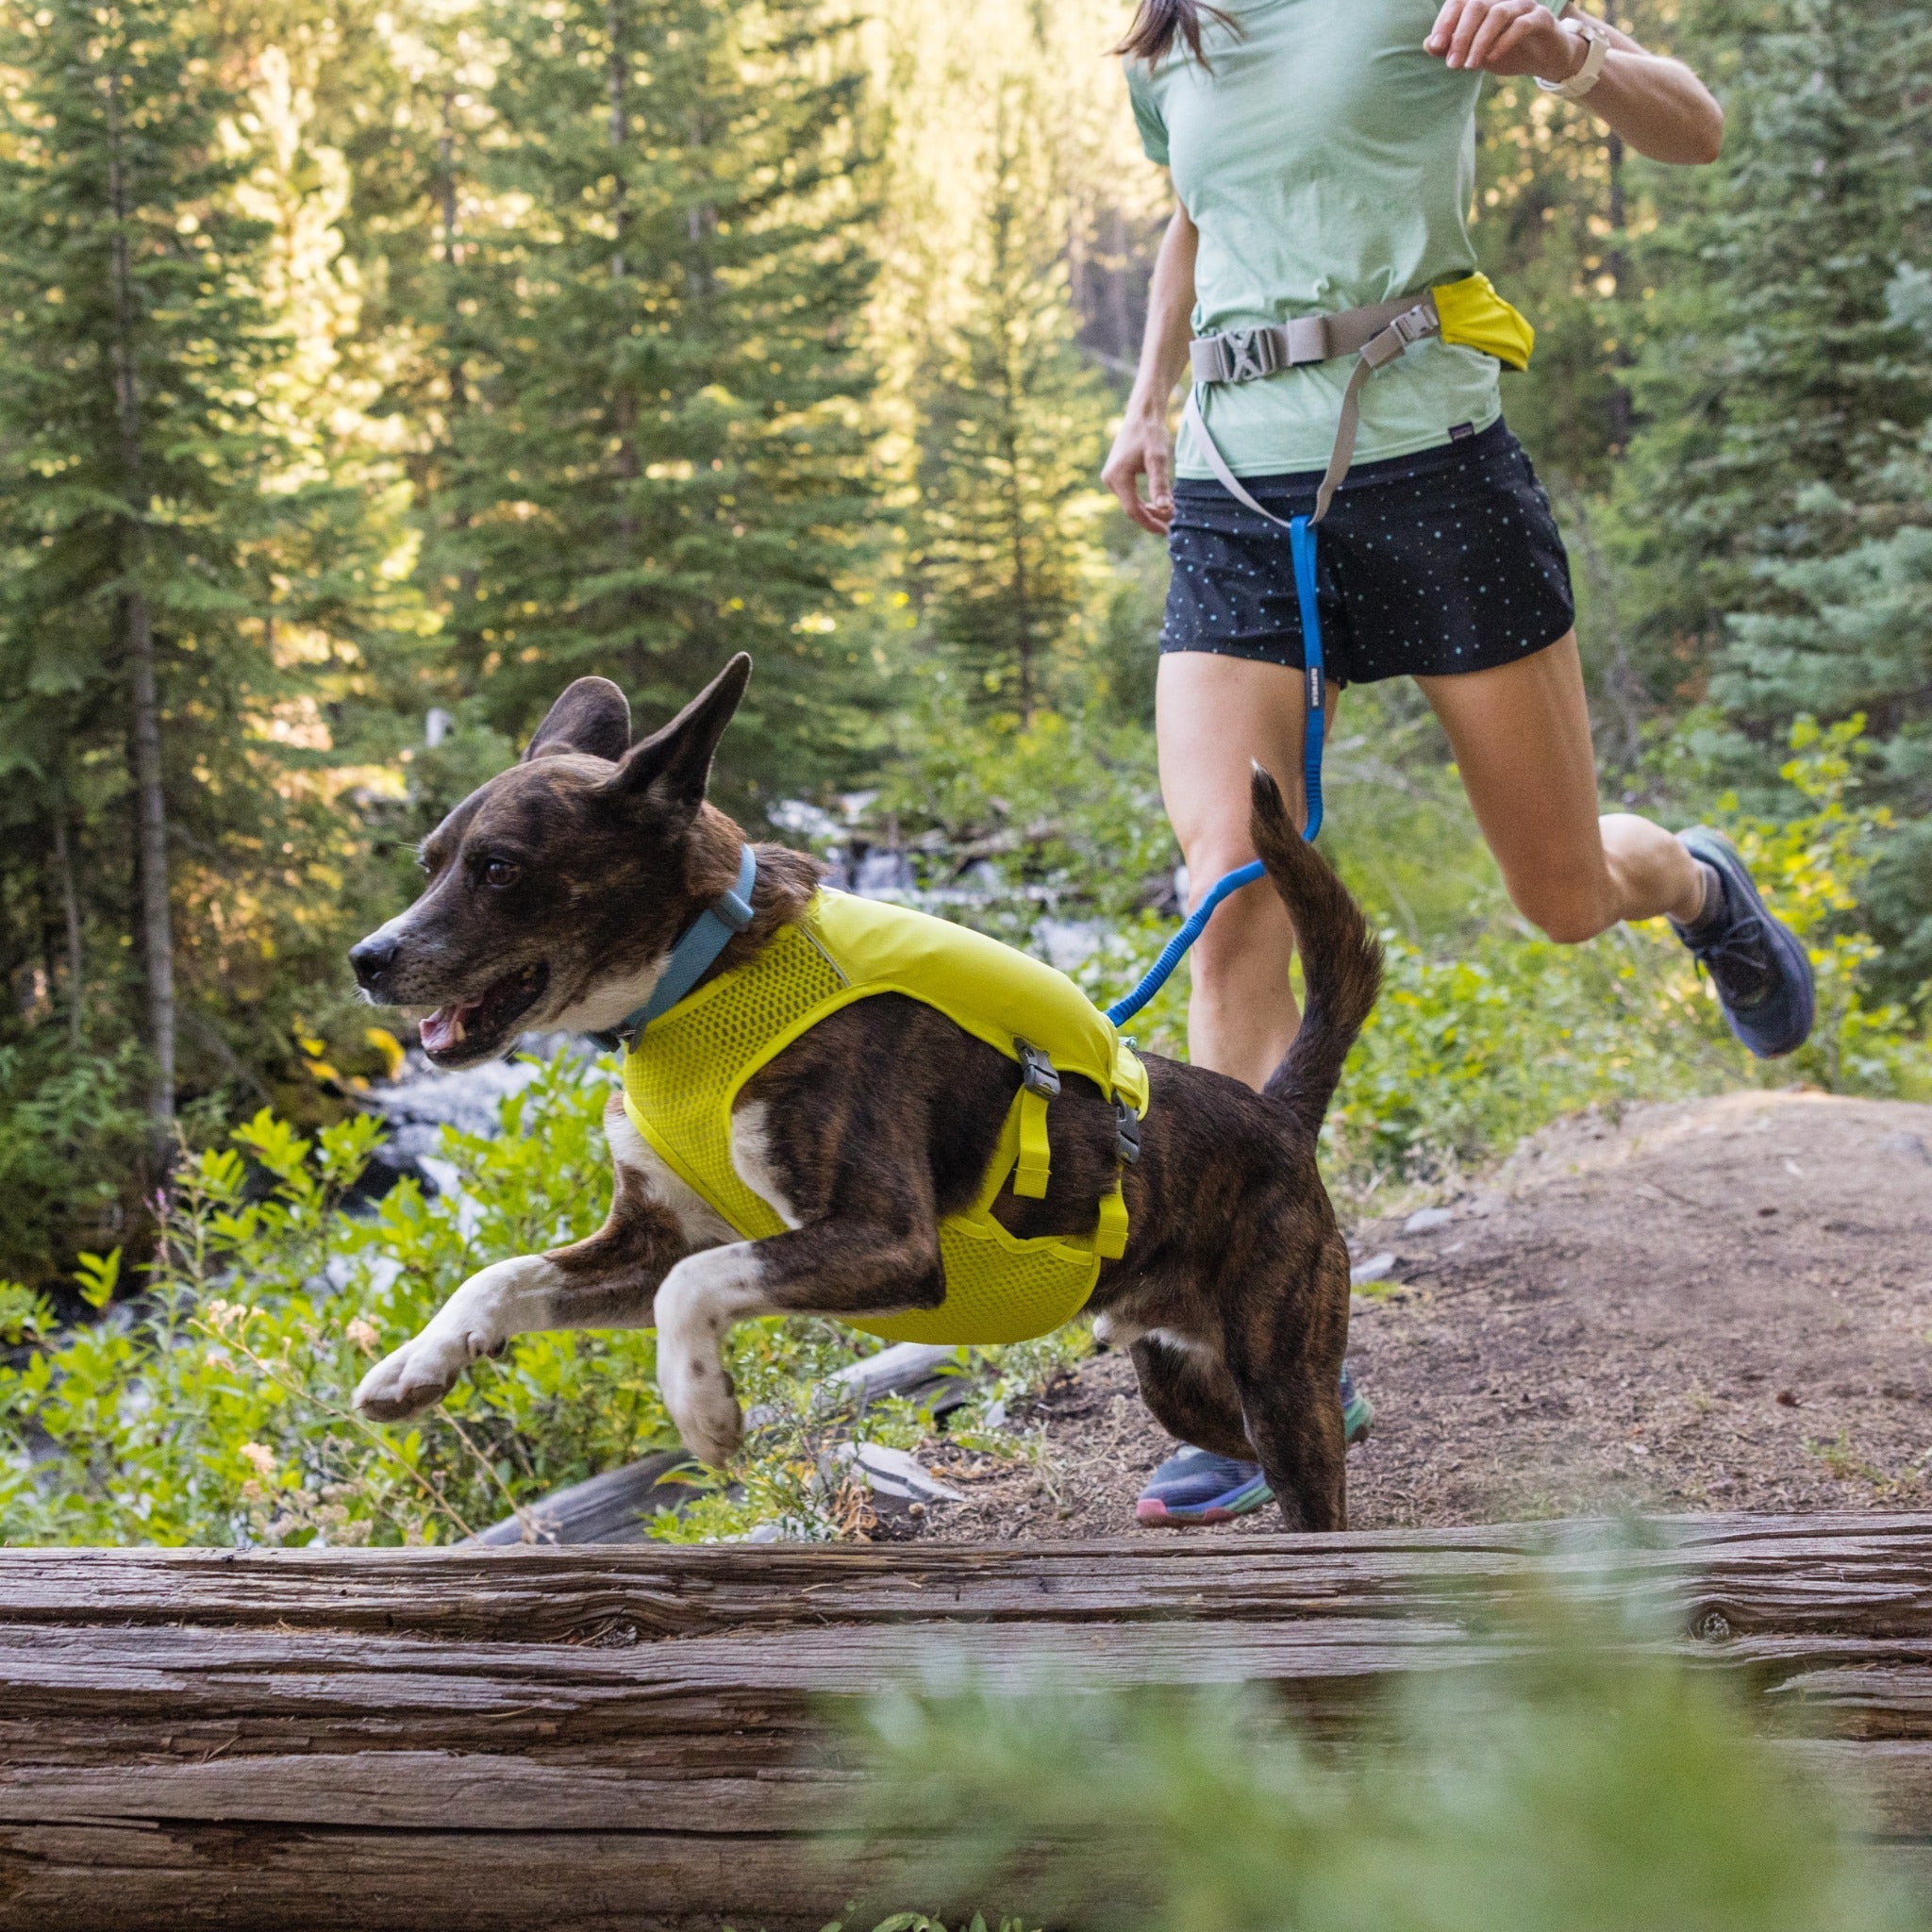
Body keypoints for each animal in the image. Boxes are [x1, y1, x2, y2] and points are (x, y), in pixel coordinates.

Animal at [347, 657, 1375, 1530]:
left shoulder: (885, 1240)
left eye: (499, 867)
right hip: (1182, 1378)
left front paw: (703, 1405)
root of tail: (1277, 1113)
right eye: (429, 861)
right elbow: (504, 1275)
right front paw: (417, 1364)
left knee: (1317, 1485)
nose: (367, 957)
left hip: (1277, 1372)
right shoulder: (648, 1238)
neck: (700, 982)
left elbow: (690, 1289)